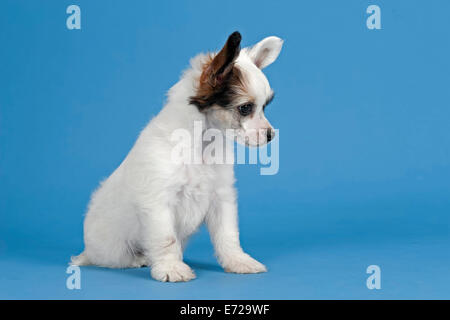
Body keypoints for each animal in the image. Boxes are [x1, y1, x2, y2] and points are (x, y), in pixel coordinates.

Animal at [71, 31, 284, 282]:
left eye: (265, 107)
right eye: (245, 108)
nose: (271, 135)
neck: (201, 147)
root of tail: (87, 251)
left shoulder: (221, 198)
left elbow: (228, 235)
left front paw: (238, 261)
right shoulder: (159, 202)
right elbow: (166, 239)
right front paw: (171, 267)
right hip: (113, 250)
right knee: (117, 259)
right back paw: (138, 259)